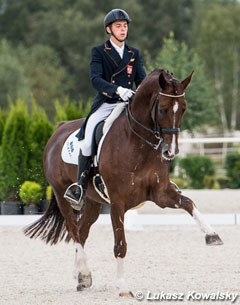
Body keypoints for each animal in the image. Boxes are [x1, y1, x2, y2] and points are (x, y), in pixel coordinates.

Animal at [24, 67, 223, 296]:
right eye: (163, 109)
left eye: (183, 109)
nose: (170, 151)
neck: (139, 143)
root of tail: (59, 129)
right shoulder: (117, 202)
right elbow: (120, 243)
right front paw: (122, 286)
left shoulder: (161, 193)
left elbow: (189, 203)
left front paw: (212, 235)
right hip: (62, 194)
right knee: (73, 230)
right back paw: (85, 273)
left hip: (92, 202)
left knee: (82, 232)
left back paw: (81, 276)